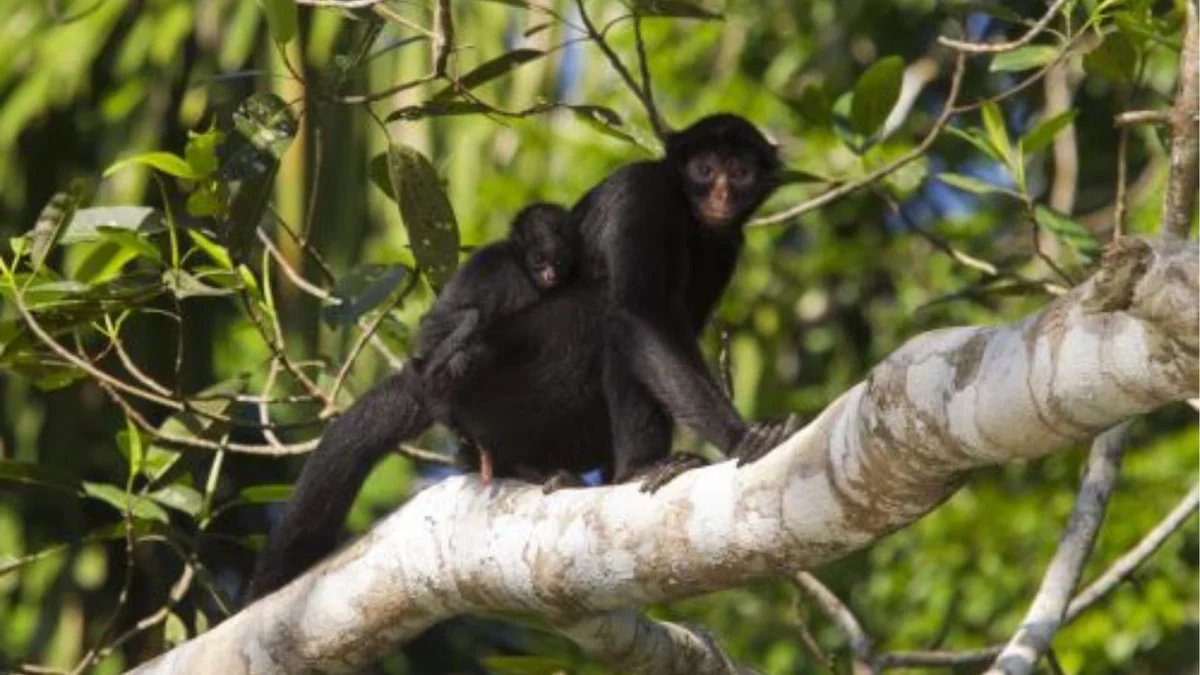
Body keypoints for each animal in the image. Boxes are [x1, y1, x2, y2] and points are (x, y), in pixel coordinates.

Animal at [245, 114, 791, 602]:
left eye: (740, 173)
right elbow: (637, 315)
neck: (687, 215)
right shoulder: (644, 193)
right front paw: (735, 438)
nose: (720, 195)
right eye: (704, 169)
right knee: (603, 311)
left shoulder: (726, 241)